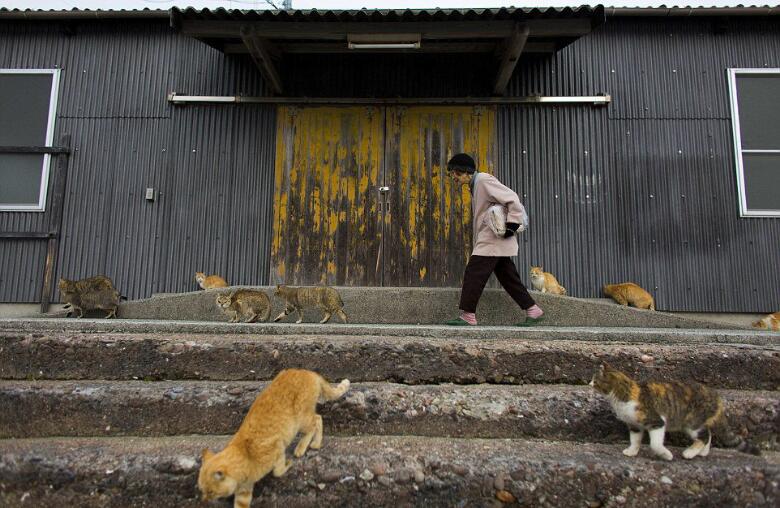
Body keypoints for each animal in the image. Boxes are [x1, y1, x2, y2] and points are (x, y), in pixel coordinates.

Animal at [198, 370, 350, 508]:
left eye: (210, 492)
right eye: (202, 491)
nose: (204, 500)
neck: (245, 454)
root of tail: (309, 372)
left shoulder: (277, 446)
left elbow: (277, 471)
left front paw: (287, 464)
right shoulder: (243, 492)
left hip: (302, 419)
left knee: (317, 421)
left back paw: (307, 446)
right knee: (318, 419)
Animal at [592, 366, 756, 460]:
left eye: (595, 380)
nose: (589, 382)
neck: (624, 394)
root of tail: (717, 398)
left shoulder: (656, 421)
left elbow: (655, 444)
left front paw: (666, 455)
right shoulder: (635, 425)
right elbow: (635, 440)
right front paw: (632, 452)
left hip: (693, 421)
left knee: (703, 436)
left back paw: (689, 453)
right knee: (708, 435)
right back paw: (702, 453)